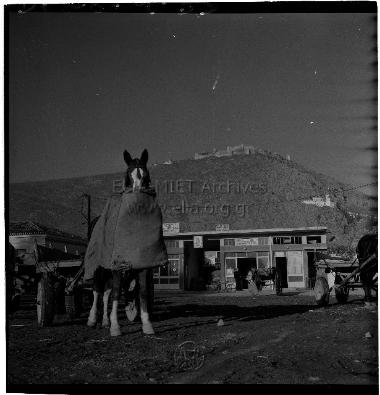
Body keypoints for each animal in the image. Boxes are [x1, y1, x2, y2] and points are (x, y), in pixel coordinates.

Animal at [86, 149, 166, 338]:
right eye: (129, 174)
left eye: (146, 174)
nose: (137, 192)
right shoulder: (117, 266)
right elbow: (116, 292)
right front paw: (116, 327)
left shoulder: (144, 265)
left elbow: (142, 292)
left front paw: (147, 324)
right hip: (101, 267)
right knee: (97, 289)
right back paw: (93, 319)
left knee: (105, 293)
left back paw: (105, 321)